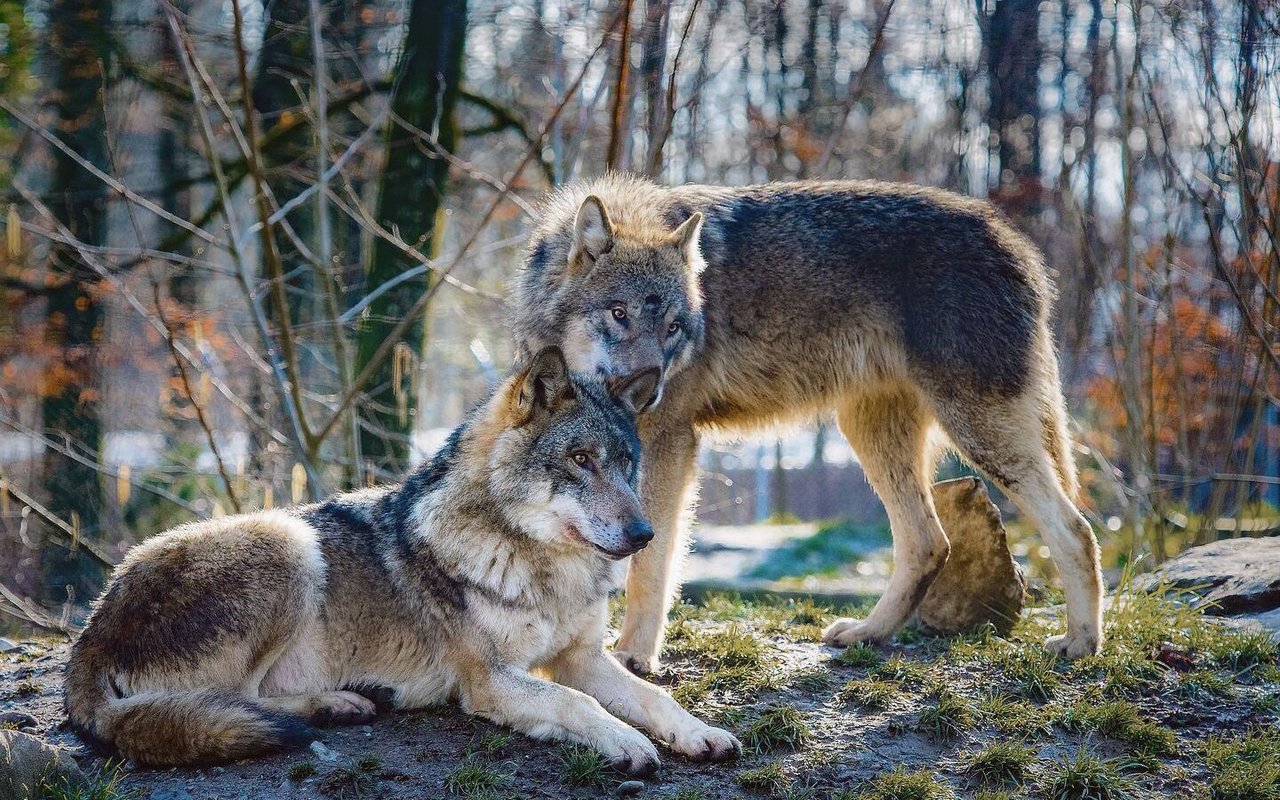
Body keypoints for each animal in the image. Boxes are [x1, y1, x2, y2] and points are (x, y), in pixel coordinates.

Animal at [62, 345, 742, 773]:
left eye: (626, 464)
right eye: (580, 460)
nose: (644, 533)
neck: (542, 568)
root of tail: (90, 632)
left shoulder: (580, 658)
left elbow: (652, 697)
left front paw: (698, 732)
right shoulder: (489, 680)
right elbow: (580, 705)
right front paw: (626, 742)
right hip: (289, 542)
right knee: (235, 702)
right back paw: (335, 704)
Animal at [514, 174, 1105, 675]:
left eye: (674, 328)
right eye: (619, 314)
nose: (649, 390)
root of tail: (1019, 245)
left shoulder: (668, 442)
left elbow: (650, 562)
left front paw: (634, 656)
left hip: (978, 434)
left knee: (1075, 529)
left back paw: (1081, 643)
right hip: (872, 434)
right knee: (929, 542)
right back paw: (868, 633)